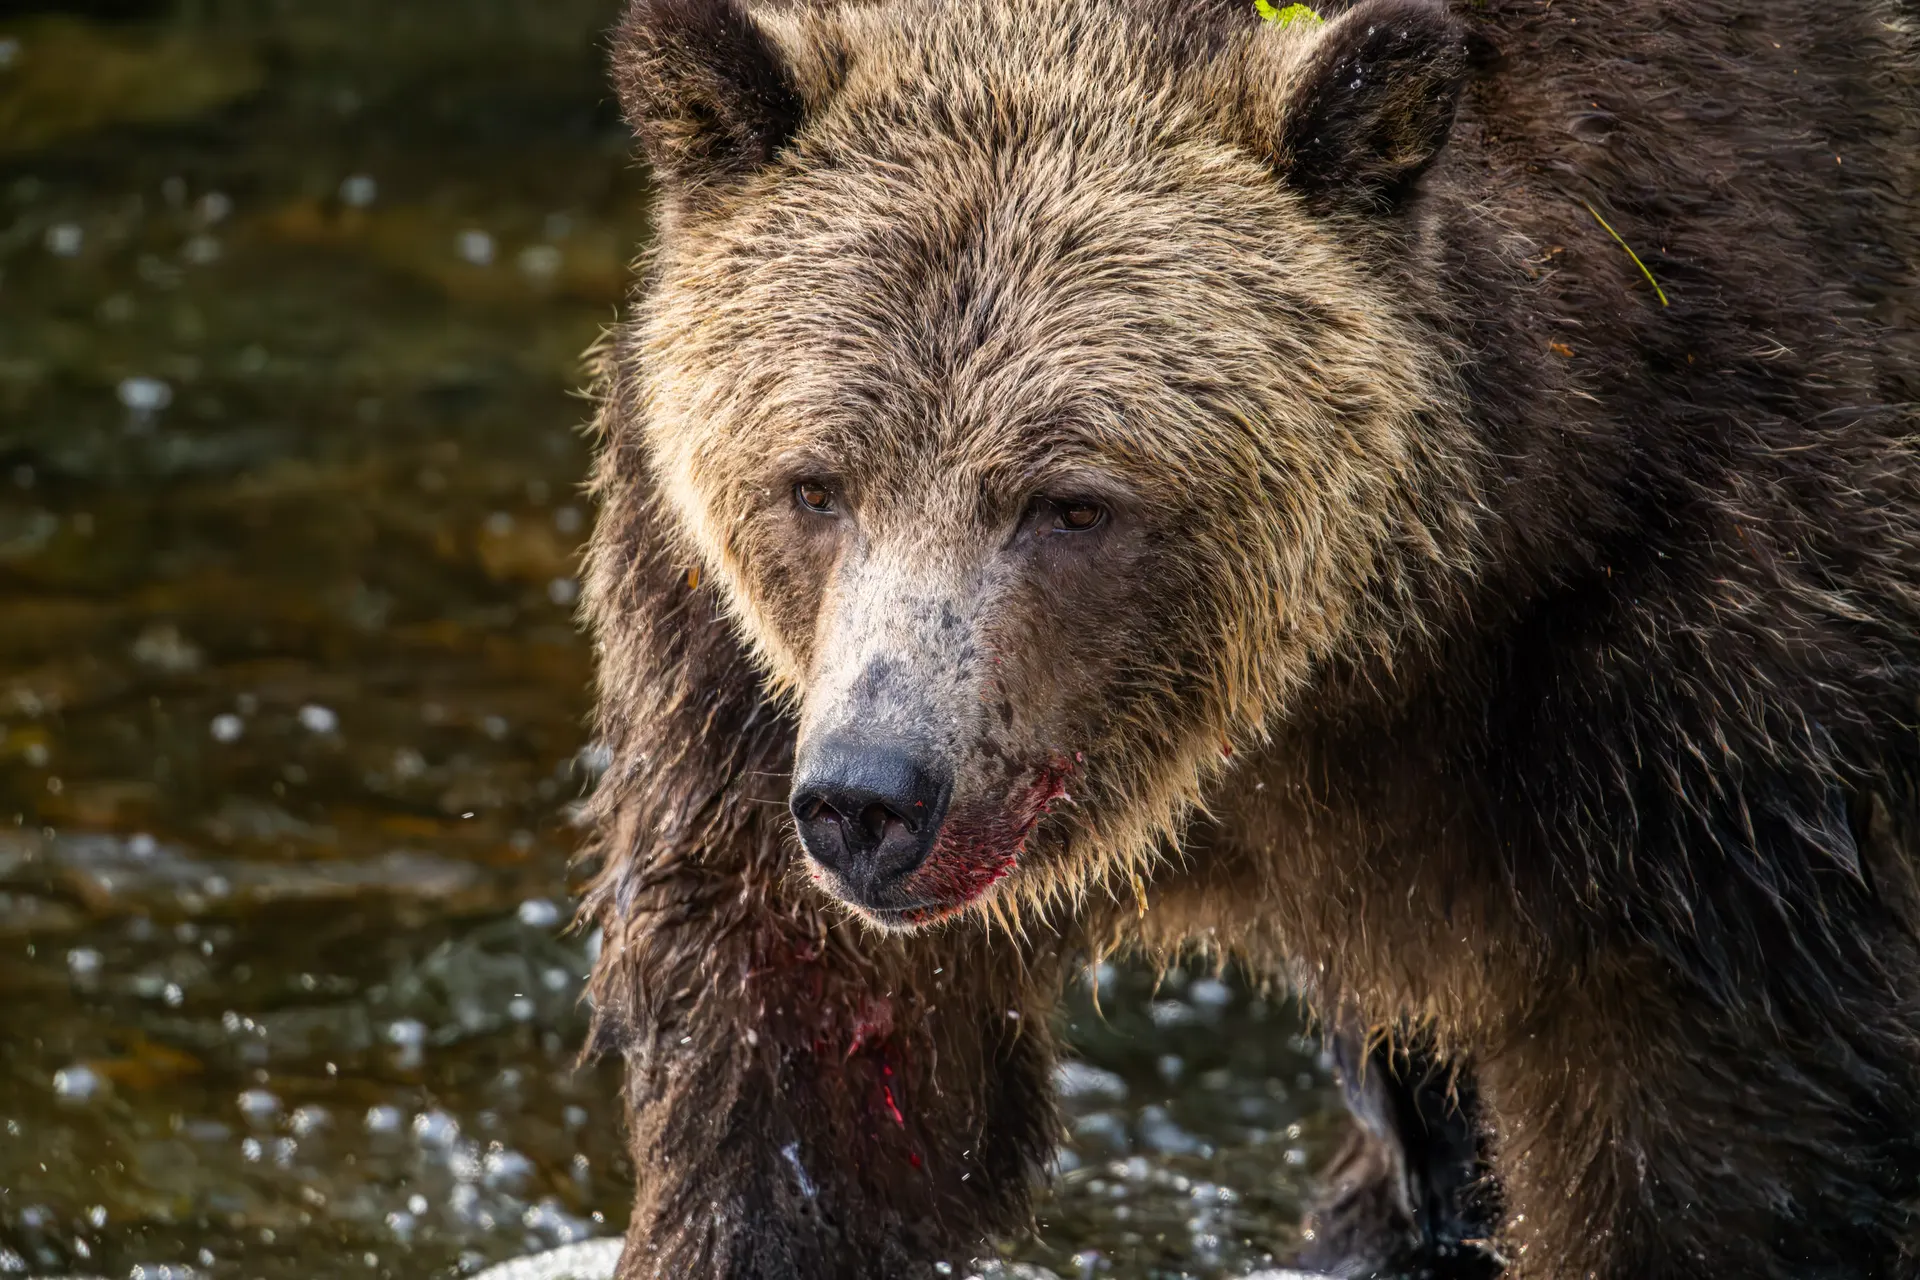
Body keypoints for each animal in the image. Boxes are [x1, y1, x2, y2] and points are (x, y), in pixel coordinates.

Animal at [576, 0, 1920, 1275]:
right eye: (816, 484)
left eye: (1072, 502)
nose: (873, 794)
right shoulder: (741, 687)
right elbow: (812, 1079)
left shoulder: (1688, 660)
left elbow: (1702, 1123)